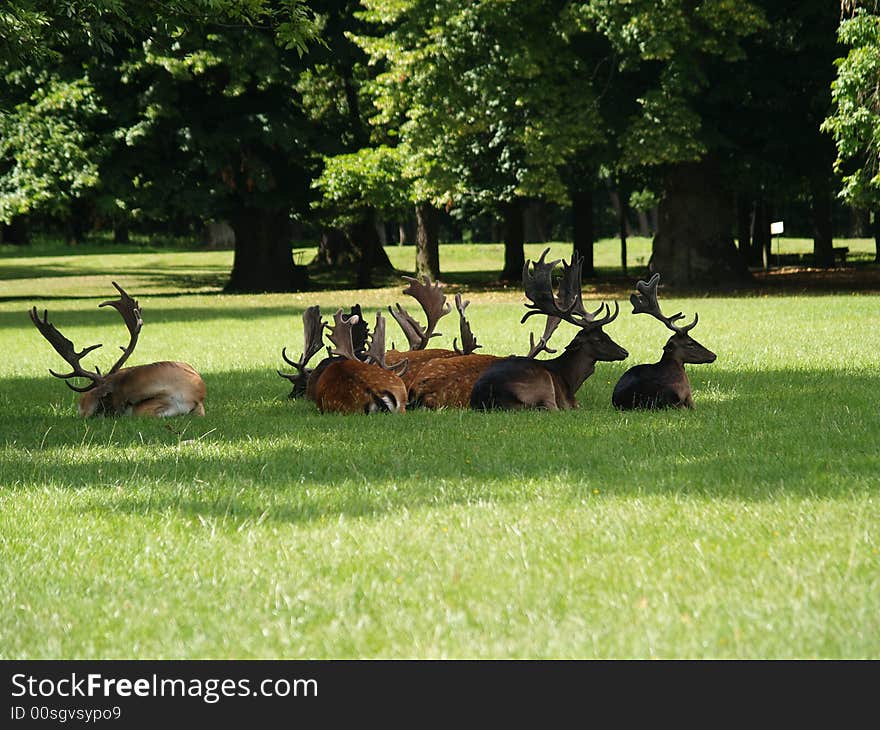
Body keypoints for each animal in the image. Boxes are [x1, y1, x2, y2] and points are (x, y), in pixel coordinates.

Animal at [470, 249, 628, 410]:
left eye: (607, 334)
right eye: (598, 339)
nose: (625, 352)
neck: (570, 381)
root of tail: (488, 398)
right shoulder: (569, 401)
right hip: (543, 384)